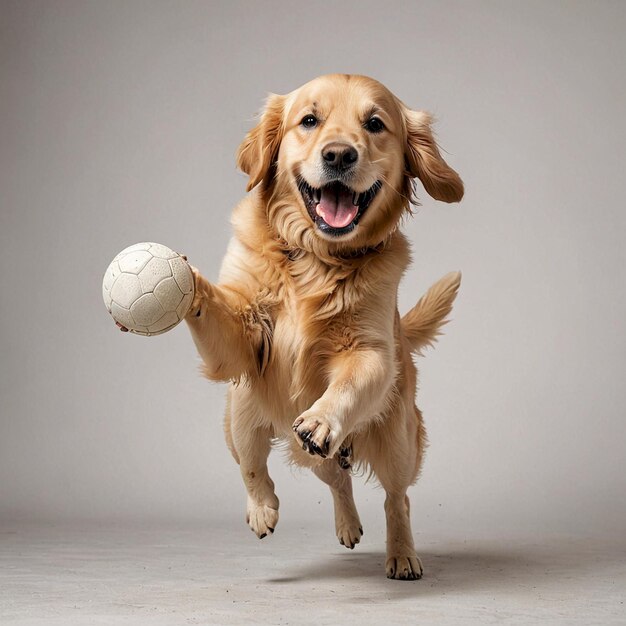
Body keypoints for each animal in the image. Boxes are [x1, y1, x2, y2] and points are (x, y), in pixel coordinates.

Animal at [183, 74, 460, 580]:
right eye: (309, 120)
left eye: (375, 124)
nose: (338, 155)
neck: (316, 257)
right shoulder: (242, 345)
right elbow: (220, 314)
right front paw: (178, 278)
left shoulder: (370, 353)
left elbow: (347, 385)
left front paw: (322, 418)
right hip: (239, 415)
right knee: (275, 467)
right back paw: (272, 509)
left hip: (398, 439)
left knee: (396, 498)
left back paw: (402, 554)